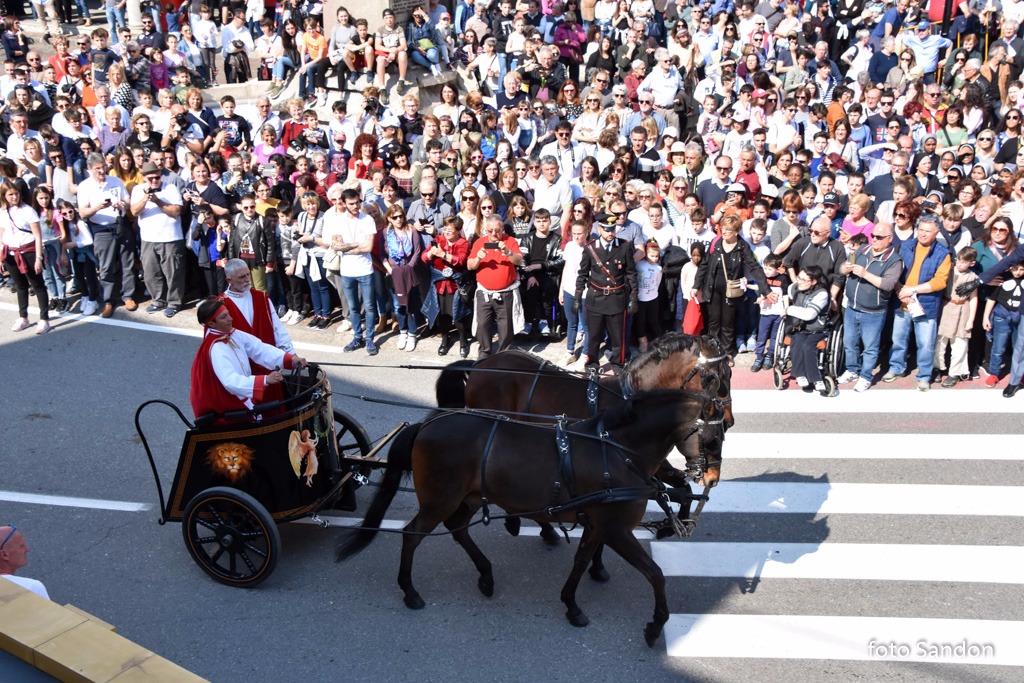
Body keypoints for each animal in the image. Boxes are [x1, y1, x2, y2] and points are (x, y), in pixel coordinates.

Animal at [335, 389, 720, 647]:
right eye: (714, 436)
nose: (710, 478)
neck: (616, 451)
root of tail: (426, 423)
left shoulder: (599, 525)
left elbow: (582, 560)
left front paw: (572, 604)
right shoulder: (617, 530)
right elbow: (655, 574)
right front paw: (655, 625)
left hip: (467, 498)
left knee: (457, 528)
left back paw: (486, 575)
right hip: (438, 500)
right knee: (412, 535)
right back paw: (410, 590)